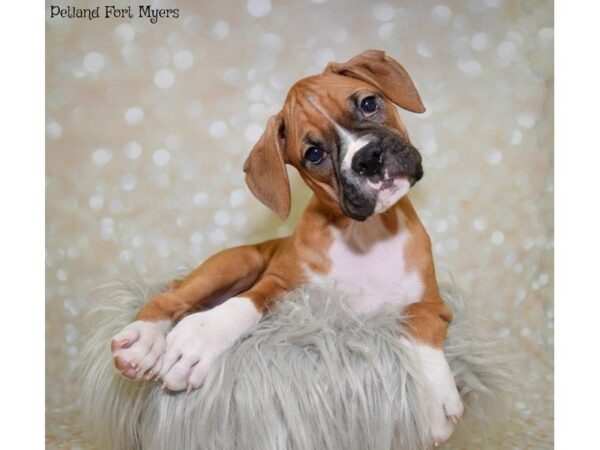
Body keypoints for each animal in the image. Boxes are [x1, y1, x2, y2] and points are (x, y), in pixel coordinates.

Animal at [111, 51, 464, 444]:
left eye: (369, 104)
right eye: (314, 154)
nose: (368, 158)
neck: (366, 235)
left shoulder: (433, 305)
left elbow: (414, 322)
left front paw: (432, 399)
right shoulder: (280, 283)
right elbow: (246, 302)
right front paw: (198, 340)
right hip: (238, 262)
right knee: (172, 297)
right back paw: (144, 340)